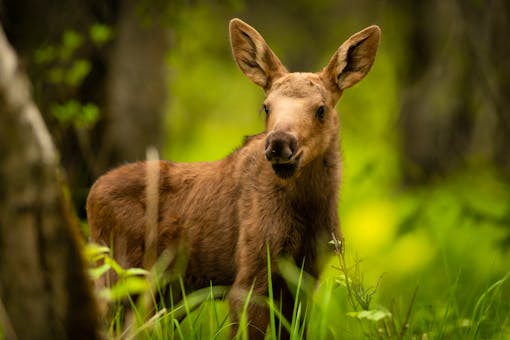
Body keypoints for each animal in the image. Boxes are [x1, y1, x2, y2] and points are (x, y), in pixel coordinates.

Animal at [86, 17, 378, 338]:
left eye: (321, 109)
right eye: (266, 106)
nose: (279, 143)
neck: (308, 207)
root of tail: (91, 195)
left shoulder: (307, 276)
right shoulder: (252, 271)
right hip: (119, 273)